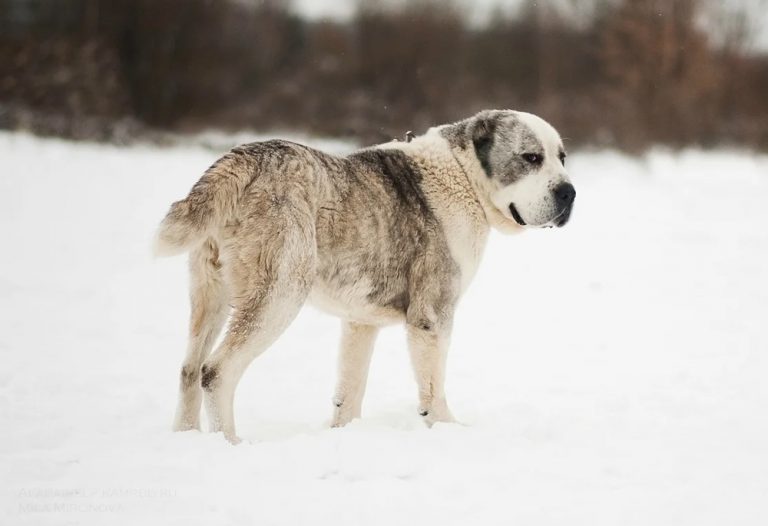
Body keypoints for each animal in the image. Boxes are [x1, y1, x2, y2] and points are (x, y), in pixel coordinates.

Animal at [156, 109, 572, 444]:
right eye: (531, 158)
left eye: (562, 158)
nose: (569, 192)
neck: (463, 175)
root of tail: (240, 160)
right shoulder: (432, 316)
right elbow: (433, 386)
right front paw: (448, 429)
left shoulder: (360, 322)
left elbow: (350, 387)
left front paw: (344, 433)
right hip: (279, 293)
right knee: (216, 371)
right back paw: (230, 444)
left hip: (210, 293)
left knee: (189, 369)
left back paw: (186, 439)